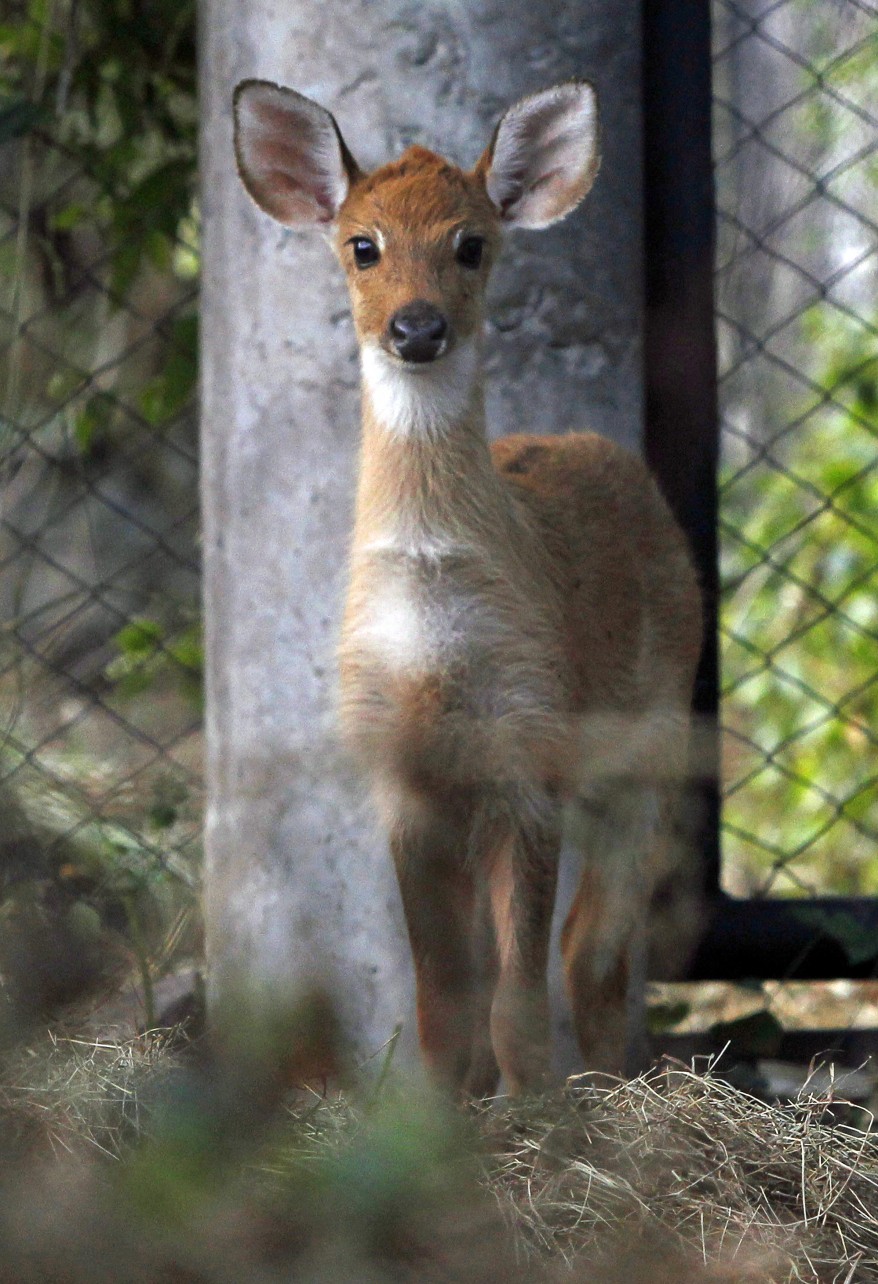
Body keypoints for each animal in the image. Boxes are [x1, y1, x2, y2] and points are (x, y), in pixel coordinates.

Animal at [233, 77, 708, 1093]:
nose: (417, 327)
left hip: (650, 742)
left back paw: (611, 1095)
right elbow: (444, 1006)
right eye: (362, 244)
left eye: (471, 243)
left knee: (592, 953)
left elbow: (517, 1005)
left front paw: (541, 1117)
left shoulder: (529, 746)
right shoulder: (402, 774)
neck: (434, 625)